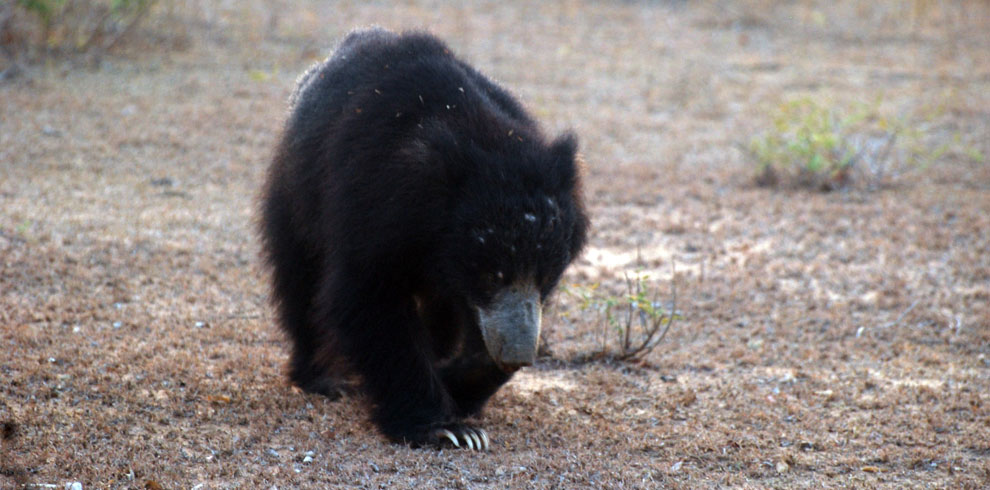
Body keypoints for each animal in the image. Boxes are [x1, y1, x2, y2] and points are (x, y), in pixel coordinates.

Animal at [262, 28, 588, 450]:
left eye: (547, 277)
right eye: (491, 275)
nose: (518, 355)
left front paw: (458, 387)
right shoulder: (372, 210)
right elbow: (368, 299)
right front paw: (446, 428)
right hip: (296, 195)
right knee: (299, 281)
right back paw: (322, 378)